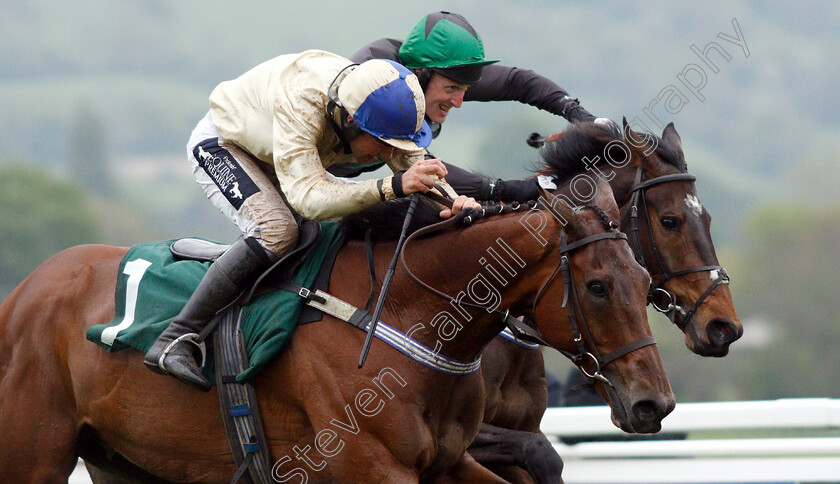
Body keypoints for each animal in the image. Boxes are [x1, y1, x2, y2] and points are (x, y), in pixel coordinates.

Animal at [0, 186, 672, 484]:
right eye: (597, 287)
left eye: (644, 280)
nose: (653, 403)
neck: (405, 315)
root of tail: (22, 292)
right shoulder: (372, 467)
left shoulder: (448, 462)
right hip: (35, 455)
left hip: (128, 462)